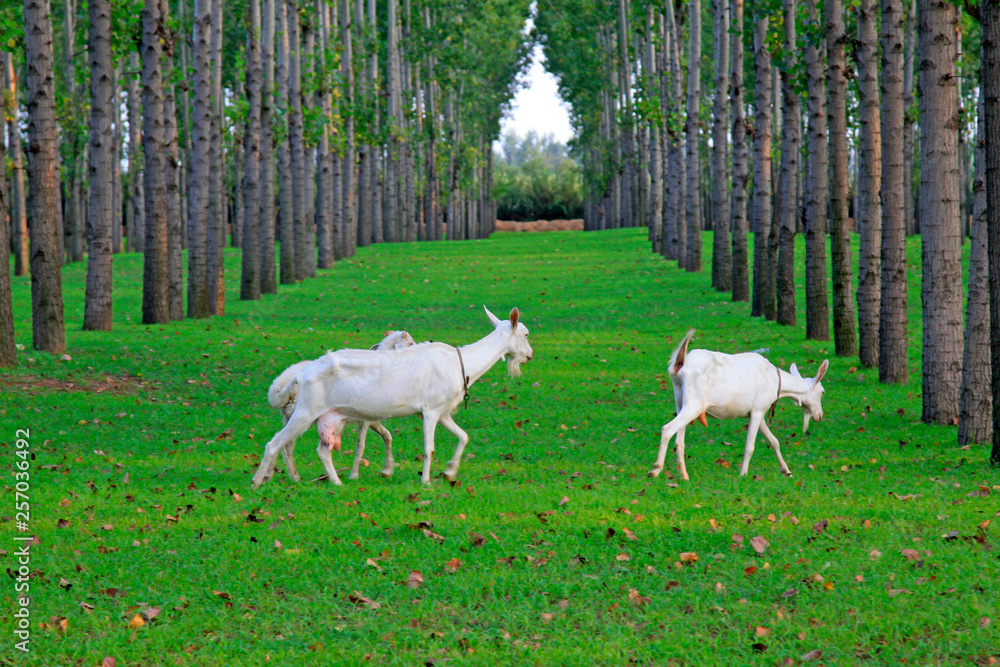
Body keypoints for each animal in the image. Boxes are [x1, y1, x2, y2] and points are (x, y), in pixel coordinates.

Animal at [265, 331, 415, 484]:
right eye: (411, 343)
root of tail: (278, 387)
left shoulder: (370, 417)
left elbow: (387, 435)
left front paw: (387, 469)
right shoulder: (365, 419)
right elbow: (361, 445)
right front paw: (354, 475)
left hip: (289, 416)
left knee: (283, 443)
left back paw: (275, 475)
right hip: (305, 414)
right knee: (286, 443)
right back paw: (292, 476)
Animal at [650, 330, 829, 481]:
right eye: (822, 392)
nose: (819, 416)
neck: (776, 383)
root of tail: (679, 364)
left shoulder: (757, 410)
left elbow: (774, 441)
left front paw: (786, 471)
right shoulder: (758, 409)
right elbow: (750, 445)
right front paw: (743, 474)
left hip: (680, 400)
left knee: (679, 440)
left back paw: (685, 476)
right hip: (694, 403)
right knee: (667, 429)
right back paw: (655, 469)